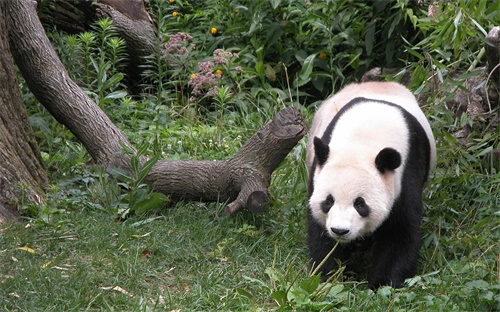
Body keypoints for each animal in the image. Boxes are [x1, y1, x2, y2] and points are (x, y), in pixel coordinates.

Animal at [306, 81, 436, 288]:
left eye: (360, 204)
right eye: (328, 201)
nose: (340, 230)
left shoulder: (407, 171)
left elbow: (399, 233)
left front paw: (383, 283)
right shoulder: (318, 173)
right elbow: (321, 234)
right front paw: (328, 276)